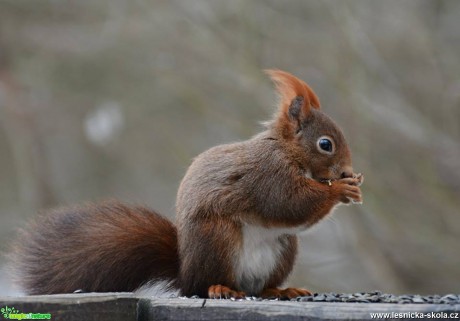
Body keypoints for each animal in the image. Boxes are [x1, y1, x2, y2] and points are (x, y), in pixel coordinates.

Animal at [9, 69, 364, 298]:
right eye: (325, 144)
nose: (347, 170)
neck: (287, 151)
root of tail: (185, 271)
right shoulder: (268, 176)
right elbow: (289, 203)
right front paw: (340, 189)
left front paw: (351, 186)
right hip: (218, 239)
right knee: (204, 285)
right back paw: (219, 288)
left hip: (284, 248)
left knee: (260, 288)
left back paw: (281, 289)